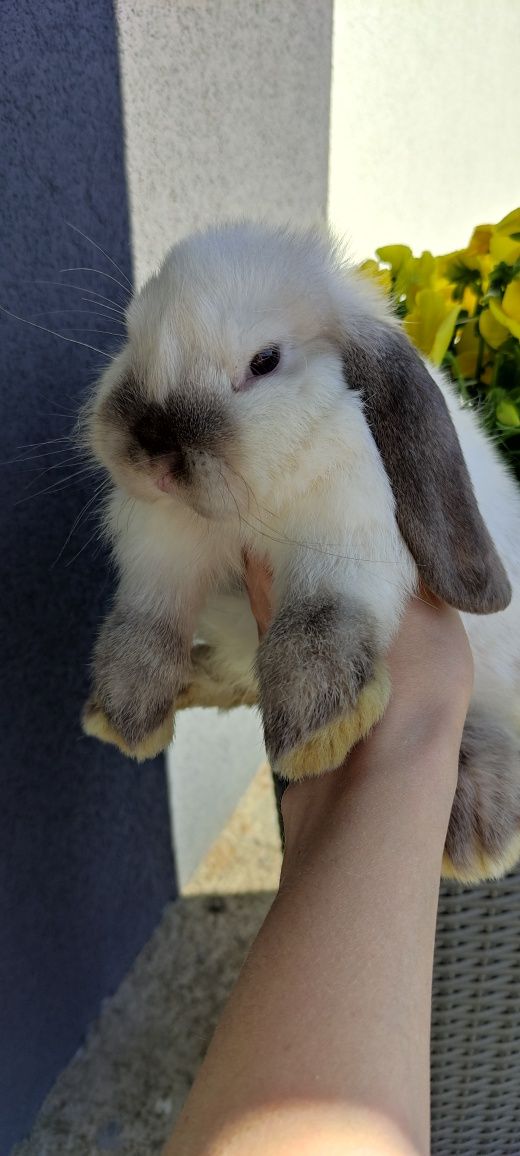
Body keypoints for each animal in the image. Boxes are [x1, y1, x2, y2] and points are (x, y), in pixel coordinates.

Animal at [79, 218, 520, 883]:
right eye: (132, 339)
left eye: (265, 361)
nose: (153, 446)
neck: (246, 505)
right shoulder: (162, 552)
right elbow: (143, 623)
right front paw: (125, 711)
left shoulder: (340, 539)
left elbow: (316, 623)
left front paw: (315, 732)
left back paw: (478, 832)